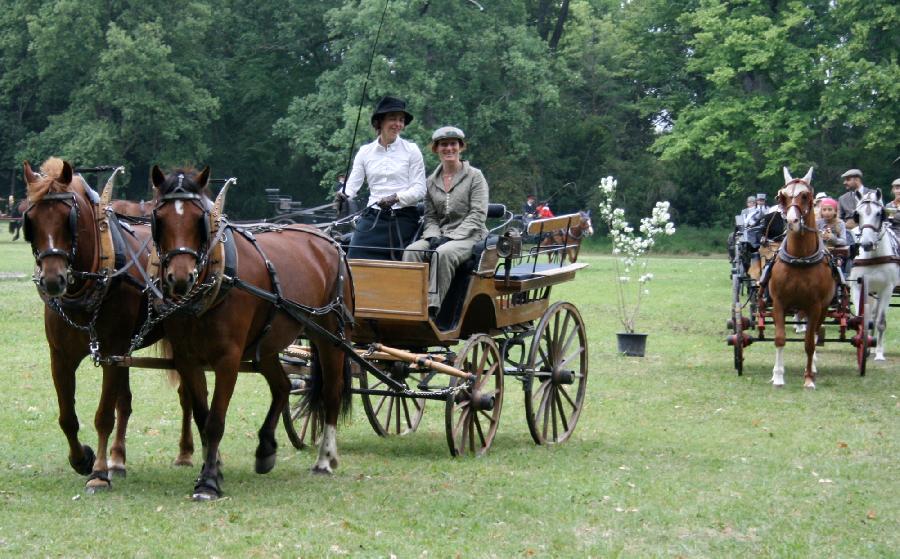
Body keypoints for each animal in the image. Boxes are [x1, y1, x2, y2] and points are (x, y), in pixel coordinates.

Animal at [21, 159, 195, 494]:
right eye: (30, 219)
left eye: (69, 218)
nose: (52, 280)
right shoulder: (61, 357)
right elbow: (67, 417)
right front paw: (83, 459)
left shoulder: (111, 350)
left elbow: (103, 415)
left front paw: (99, 473)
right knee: (125, 402)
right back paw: (118, 459)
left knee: (186, 394)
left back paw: (184, 453)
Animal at [151, 164, 352, 500]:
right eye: (159, 218)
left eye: (199, 219)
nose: (180, 278)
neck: (217, 279)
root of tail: (329, 239)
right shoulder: (187, 358)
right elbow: (202, 416)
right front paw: (212, 469)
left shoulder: (228, 359)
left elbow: (216, 421)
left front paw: (208, 482)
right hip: (270, 342)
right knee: (283, 386)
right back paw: (266, 448)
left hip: (330, 335)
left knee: (331, 392)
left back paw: (325, 459)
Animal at [768, 166, 836, 390]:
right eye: (782, 196)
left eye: (805, 196)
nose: (792, 221)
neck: (799, 258)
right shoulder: (779, 303)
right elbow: (780, 338)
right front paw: (778, 376)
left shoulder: (815, 306)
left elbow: (809, 343)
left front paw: (808, 379)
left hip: (822, 308)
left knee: (814, 334)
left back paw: (813, 368)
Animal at [848, 190, 896, 360]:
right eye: (858, 214)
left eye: (879, 214)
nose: (866, 244)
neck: (873, 256)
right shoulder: (857, 287)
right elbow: (862, 318)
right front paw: (864, 346)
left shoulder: (887, 288)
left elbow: (880, 321)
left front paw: (879, 353)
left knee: (875, 317)